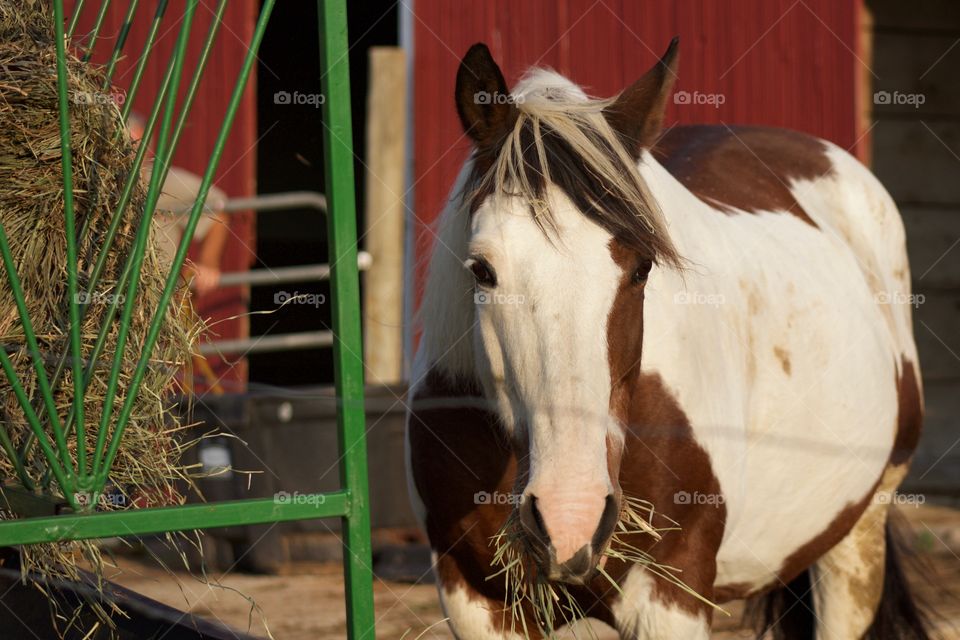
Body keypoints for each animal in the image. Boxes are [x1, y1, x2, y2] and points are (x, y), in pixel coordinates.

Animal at [406, 40, 928, 640]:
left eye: (643, 268)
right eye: (482, 270)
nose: (569, 515)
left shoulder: (671, 592)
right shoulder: (474, 597)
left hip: (857, 540)